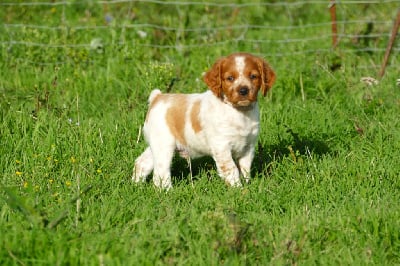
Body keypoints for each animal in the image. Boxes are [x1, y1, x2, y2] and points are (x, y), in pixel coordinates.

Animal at [134, 52, 276, 189]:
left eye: (253, 76)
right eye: (230, 78)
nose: (243, 90)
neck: (240, 112)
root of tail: (157, 97)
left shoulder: (248, 146)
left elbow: (245, 169)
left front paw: (247, 186)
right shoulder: (222, 146)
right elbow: (232, 169)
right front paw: (239, 190)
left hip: (157, 144)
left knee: (142, 162)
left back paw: (136, 185)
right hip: (163, 144)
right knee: (160, 173)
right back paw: (167, 191)